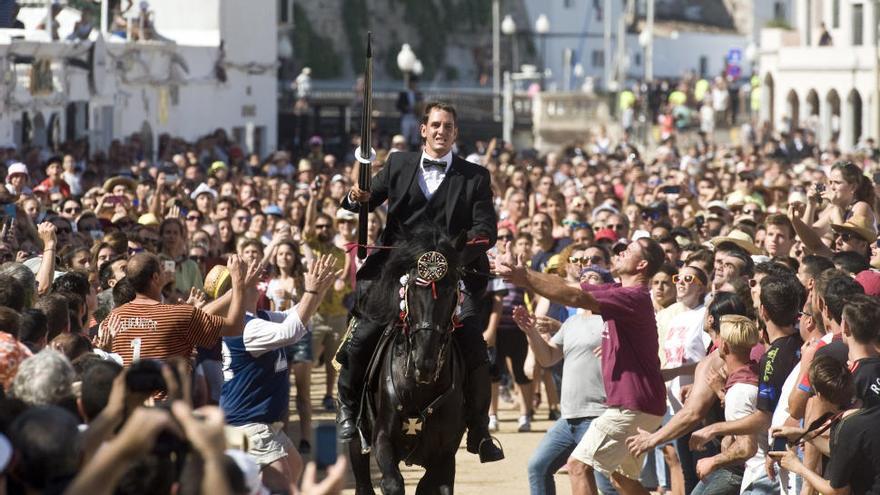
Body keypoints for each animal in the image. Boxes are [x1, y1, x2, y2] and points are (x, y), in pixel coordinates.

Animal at [350, 226, 470, 495]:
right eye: (413, 289)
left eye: (451, 292)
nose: (424, 365)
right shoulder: (382, 438)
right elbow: (393, 484)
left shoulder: (444, 455)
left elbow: (435, 486)